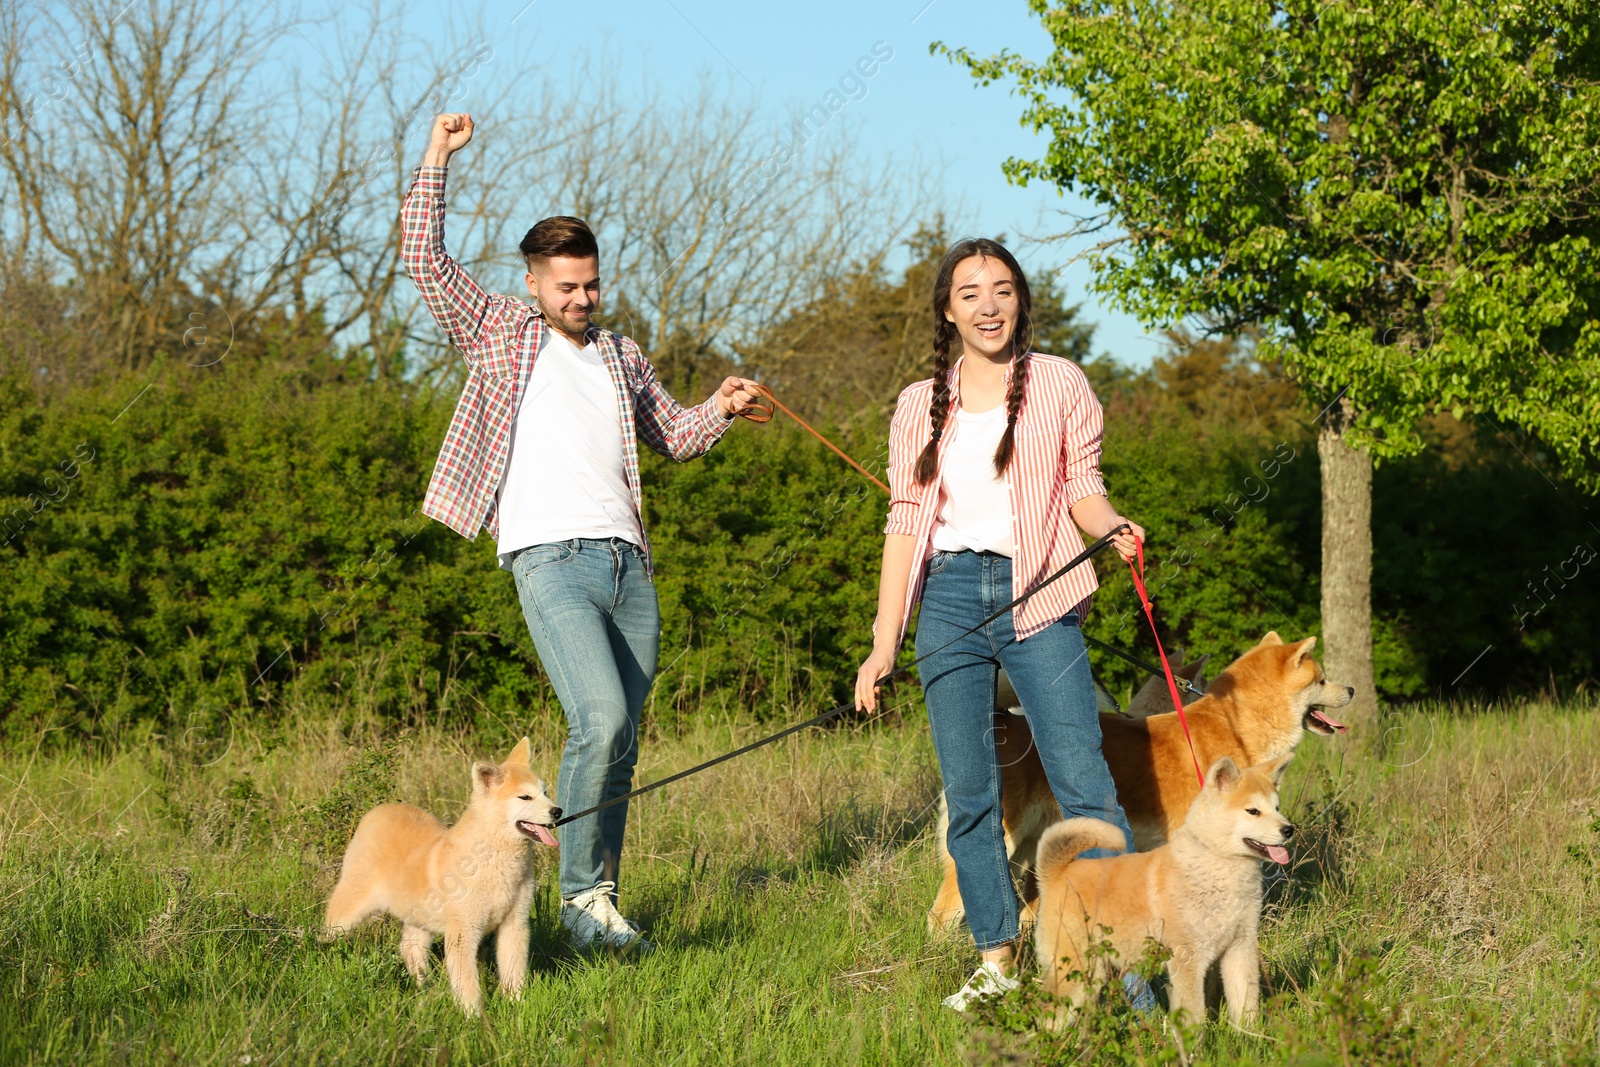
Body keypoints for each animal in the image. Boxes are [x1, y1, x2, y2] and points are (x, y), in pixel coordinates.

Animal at [318, 739, 563, 1017]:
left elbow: (514, 971)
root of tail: (377, 811)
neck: (494, 859)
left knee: (409, 948)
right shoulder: (463, 932)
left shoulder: (515, 924)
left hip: (419, 916)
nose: (557, 811)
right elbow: (467, 983)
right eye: (525, 797)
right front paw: (474, 1019)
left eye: (545, 792)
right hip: (348, 910)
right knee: (328, 934)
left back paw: (424, 987)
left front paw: (516, 1006)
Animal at [1030, 755, 1292, 1030]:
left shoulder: (1240, 947)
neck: (1216, 864)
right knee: (1048, 1017)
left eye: (1277, 808)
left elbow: (1246, 1004)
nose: (1289, 830)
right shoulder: (1187, 959)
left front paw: (1251, 1037)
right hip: (1073, 973)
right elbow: (1193, 1016)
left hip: (1094, 972)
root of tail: (1057, 873)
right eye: (1253, 811)